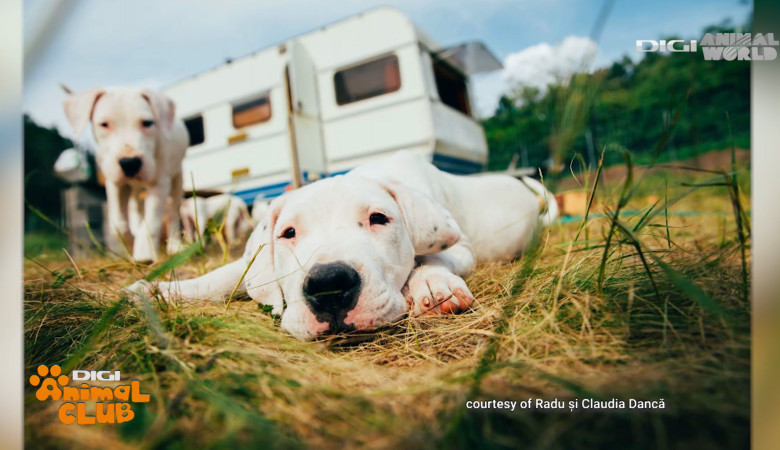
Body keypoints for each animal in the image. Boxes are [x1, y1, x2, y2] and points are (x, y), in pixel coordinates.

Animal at [64, 88, 189, 262]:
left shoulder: (160, 183)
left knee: (172, 212)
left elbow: (151, 223)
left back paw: (174, 245)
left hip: (177, 177)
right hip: (134, 188)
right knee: (134, 206)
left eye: (147, 123)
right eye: (104, 124)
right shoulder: (114, 183)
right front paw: (129, 244)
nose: (130, 162)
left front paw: (143, 255)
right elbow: (118, 224)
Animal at [128, 149, 556, 340]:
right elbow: (221, 276)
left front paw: (433, 285)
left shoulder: (459, 244)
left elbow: (432, 256)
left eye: (379, 219)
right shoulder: (253, 261)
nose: (329, 285)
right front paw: (155, 289)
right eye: (288, 233)